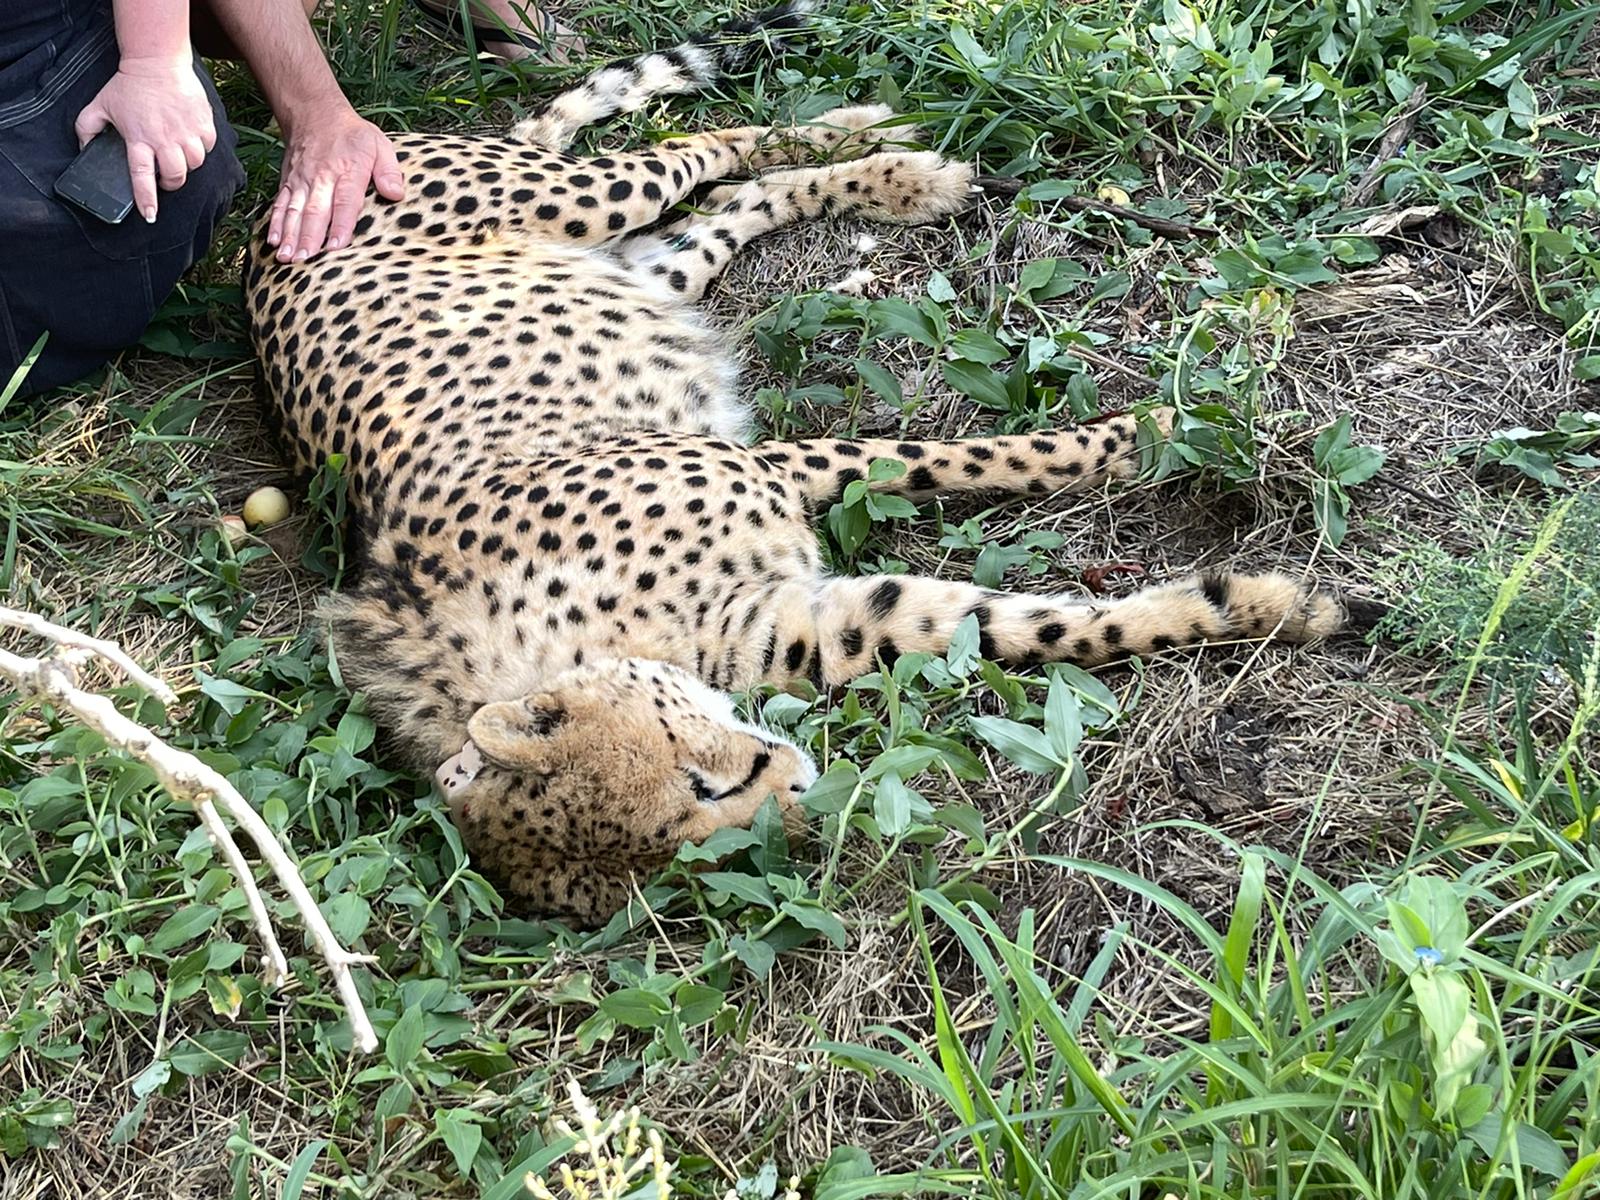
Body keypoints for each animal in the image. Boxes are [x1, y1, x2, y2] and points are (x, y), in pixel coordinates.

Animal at [243, 3, 1382, 924]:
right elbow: (1030, 627)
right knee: (726, 203)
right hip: (639, 269)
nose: (795, 799)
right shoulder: (818, 623)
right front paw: (1265, 607)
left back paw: (880, 147)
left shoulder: (771, 472)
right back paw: (889, 167)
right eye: (694, 852)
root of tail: (269, 233)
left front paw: (1134, 437)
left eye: (696, 790)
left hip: (574, 199)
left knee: (702, 144)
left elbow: (942, 457)